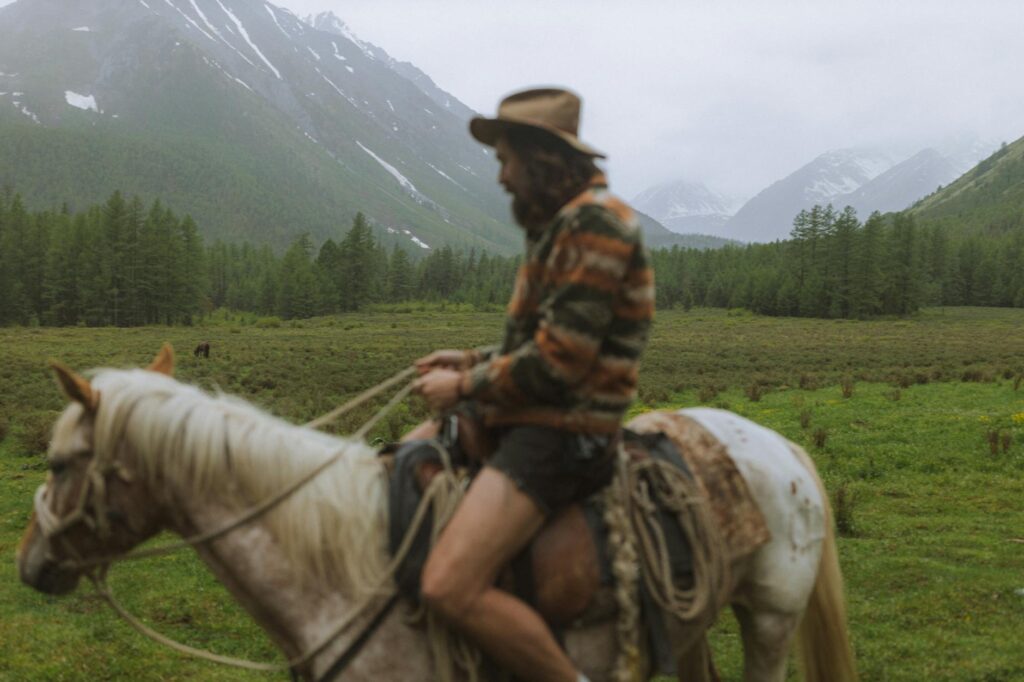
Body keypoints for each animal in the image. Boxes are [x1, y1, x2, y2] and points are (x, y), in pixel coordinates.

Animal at [19, 346, 860, 679]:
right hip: (686, 622)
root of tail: (784, 447)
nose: (29, 563)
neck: (337, 571)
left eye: (59, 464)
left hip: (771, 618)